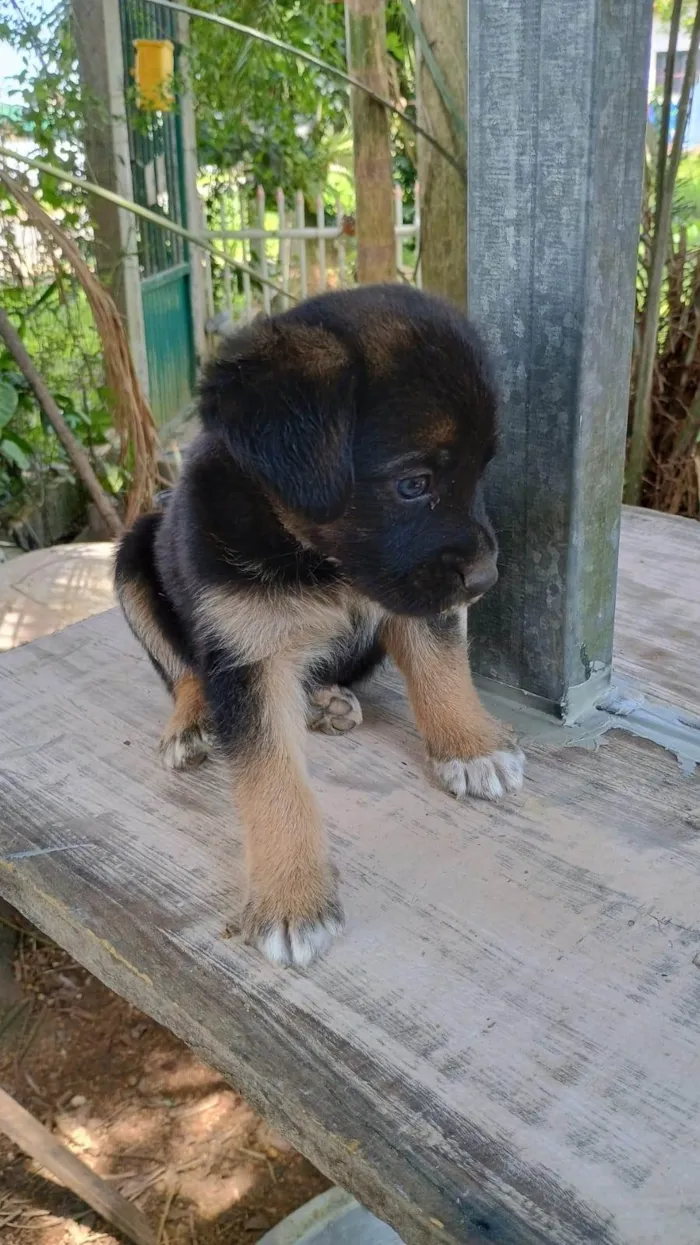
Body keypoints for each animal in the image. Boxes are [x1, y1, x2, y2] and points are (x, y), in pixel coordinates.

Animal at [114, 286, 520, 966]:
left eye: (482, 472)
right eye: (414, 483)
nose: (486, 580)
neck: (316, 559)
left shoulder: (412, 595)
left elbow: (442, 667)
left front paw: (471, 744)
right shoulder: (244, 654)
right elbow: (272, 779)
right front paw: (291, 898)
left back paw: (326, 701)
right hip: (130, 556)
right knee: (182, 672)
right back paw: (191, 723)